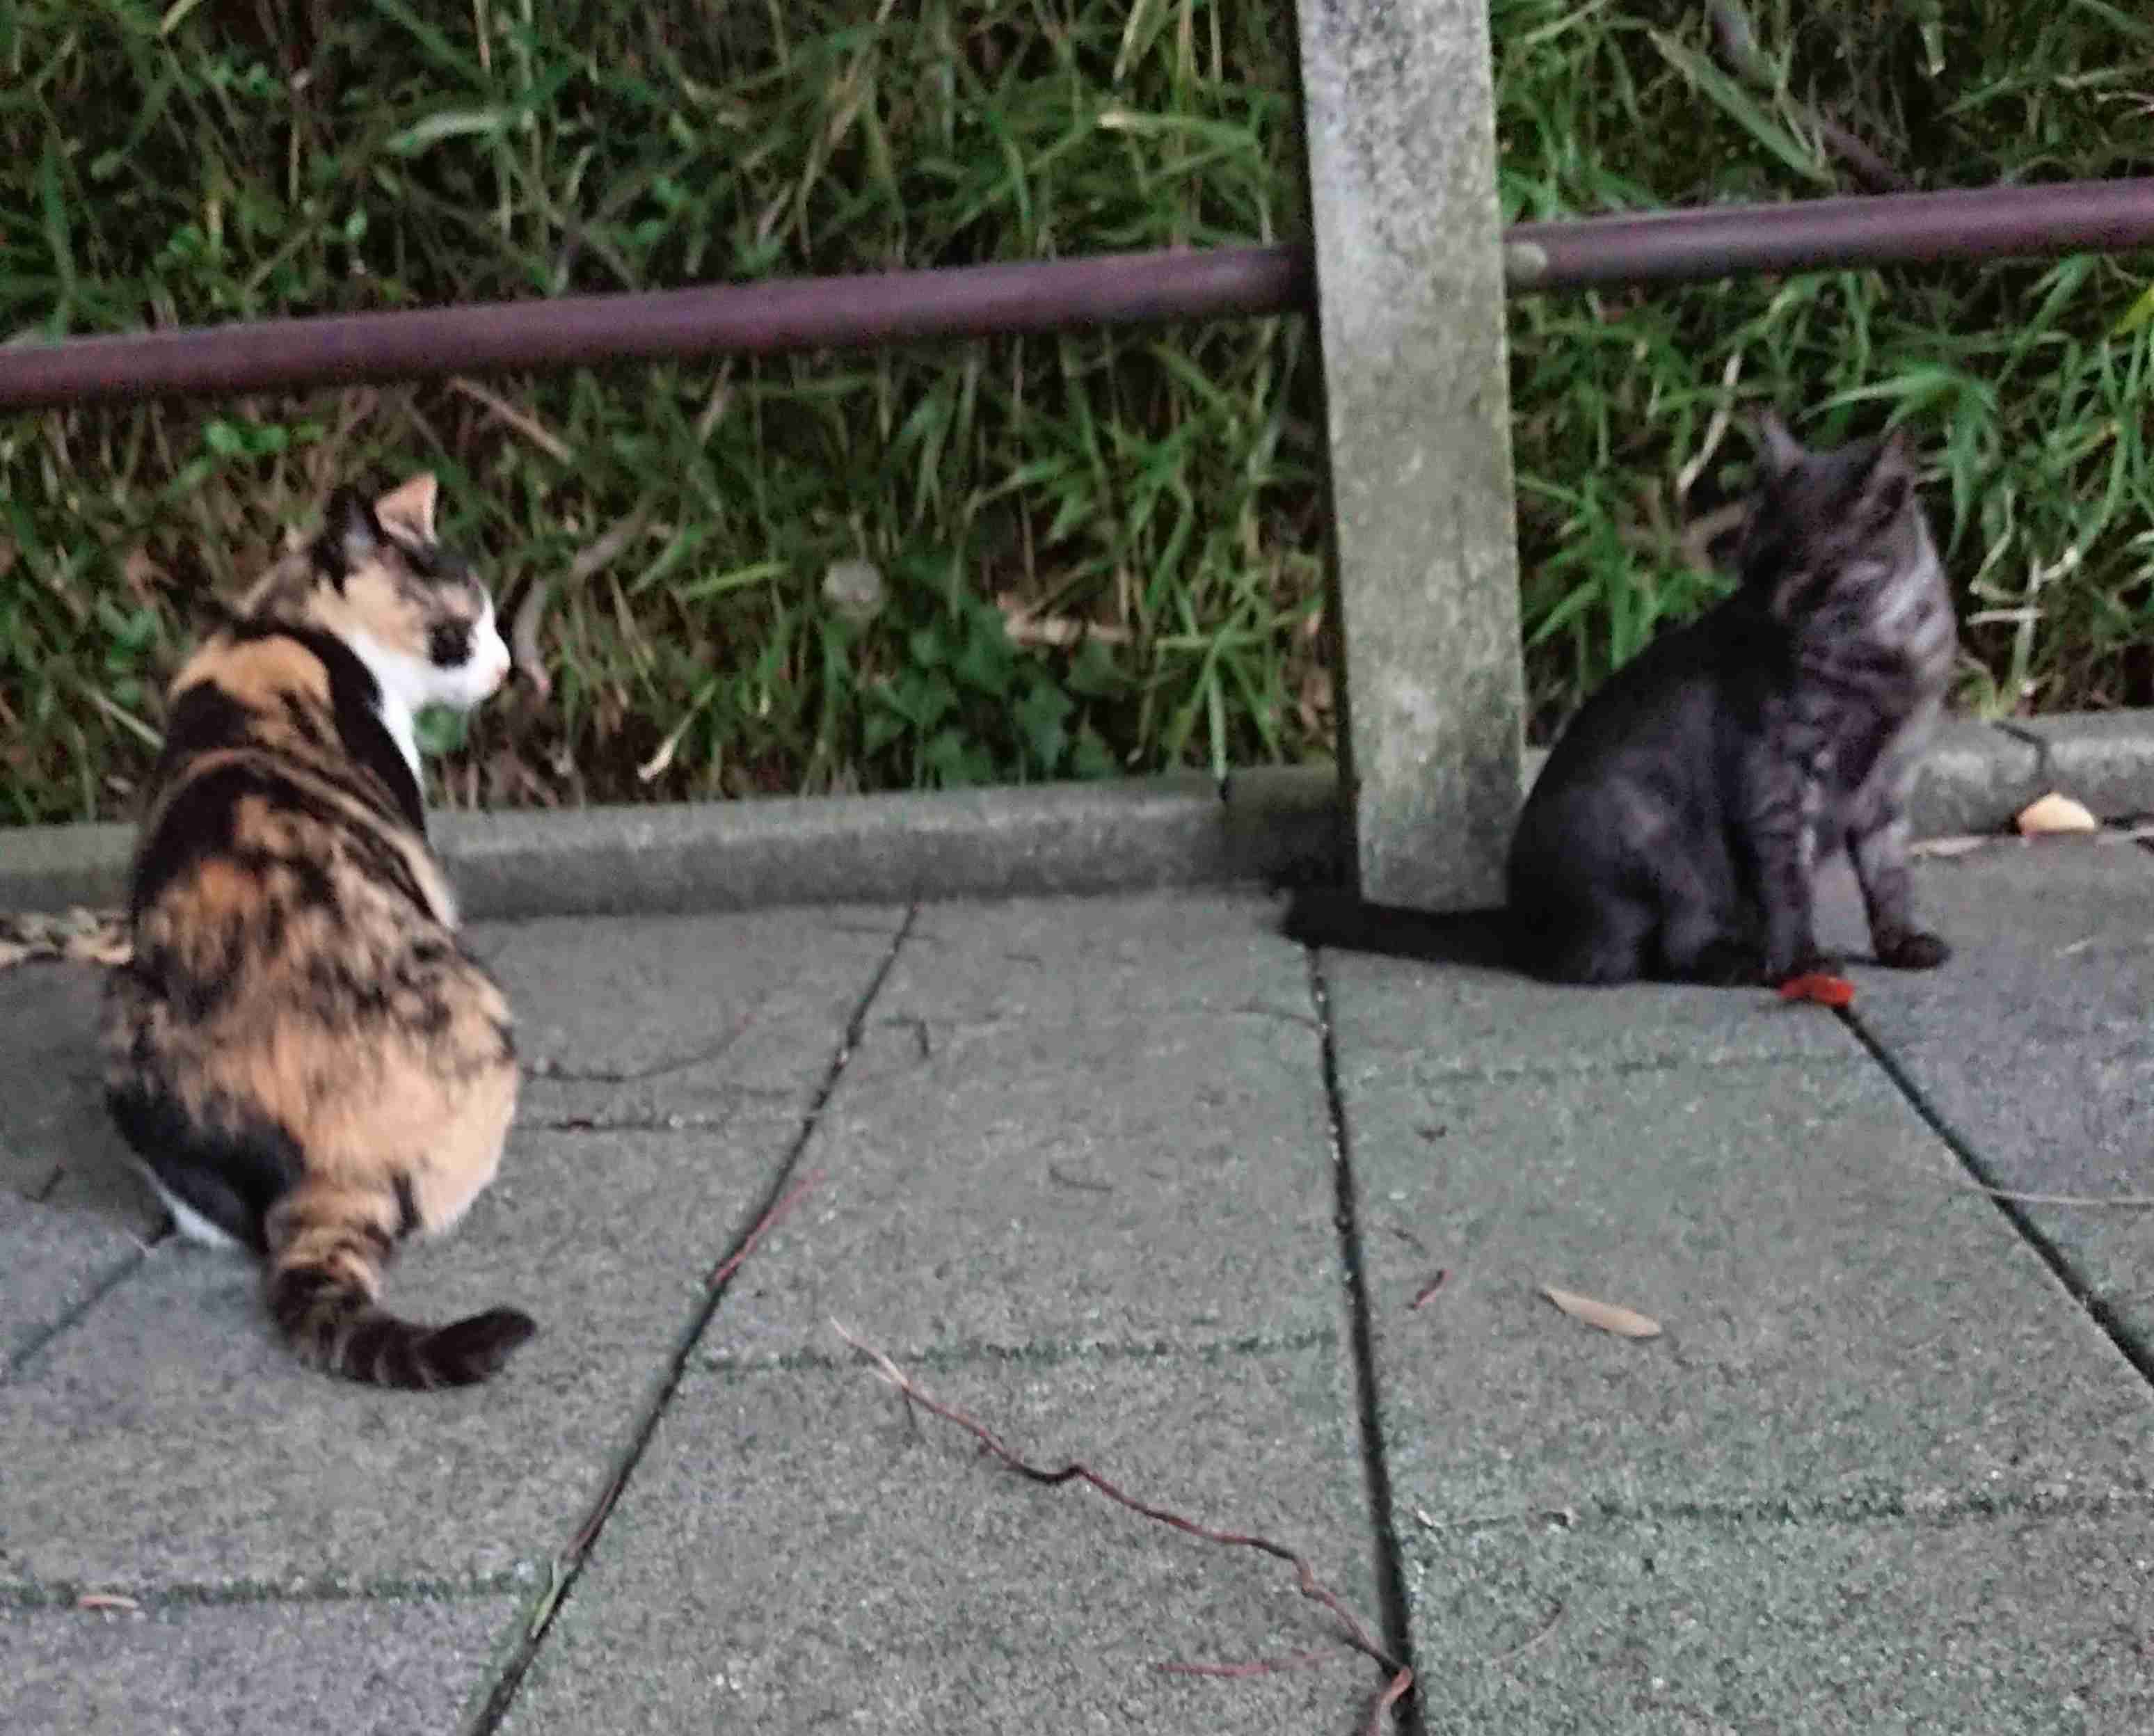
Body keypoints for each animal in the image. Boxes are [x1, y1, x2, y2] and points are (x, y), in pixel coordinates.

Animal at [98, 472, 536, 1388]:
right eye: (456, 633)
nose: (505, 666)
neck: (278, 623)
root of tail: (336, 1169)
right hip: (479, 1003)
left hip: (125, 1017)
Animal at [1506, 412, 1957, 987]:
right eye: (1755, 561)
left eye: (1812, 569)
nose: (1768, 609)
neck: (1885, 655)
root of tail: (1518, 920)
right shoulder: (1776, 773)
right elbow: (1788, 882)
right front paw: (1802, 962)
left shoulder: (1892, 779)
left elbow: (1890, 876)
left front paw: (1902, 941)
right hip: (1664, 846)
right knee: (1660, 951)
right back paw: (1740, 962)